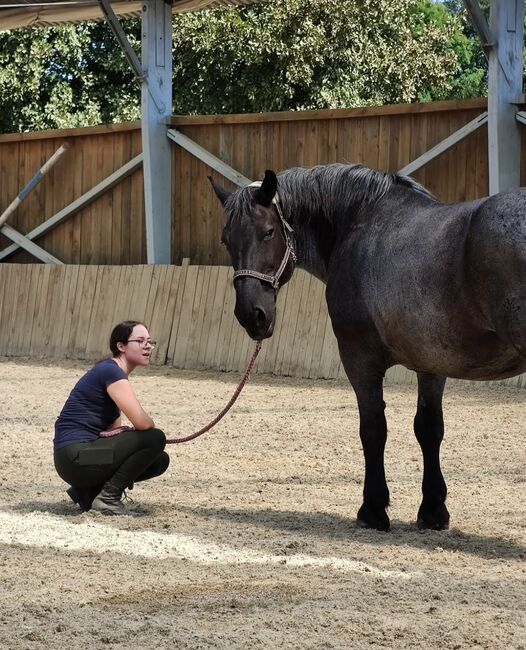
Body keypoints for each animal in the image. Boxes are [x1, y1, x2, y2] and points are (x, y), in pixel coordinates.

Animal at [210, 163, 526, 532]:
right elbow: (429, 428)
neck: (359, 222)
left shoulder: (359, 360)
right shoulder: (432, 363)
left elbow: (373, 429)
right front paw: (433, 509)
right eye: (226, 239)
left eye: (268, 231)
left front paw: (373, 509)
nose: (252, 315)